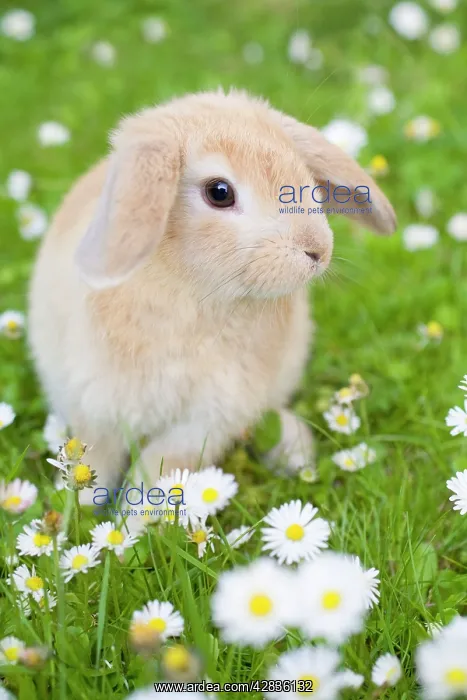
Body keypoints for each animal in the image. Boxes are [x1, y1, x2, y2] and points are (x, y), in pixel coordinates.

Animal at [28, 89, 396, 502]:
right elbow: (94, 463)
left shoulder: (207, 420)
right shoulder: (98, 408)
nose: (318, 250)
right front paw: (80, 512)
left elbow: (159, 472)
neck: (194, 293)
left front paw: (136, 519)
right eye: (219, 193)